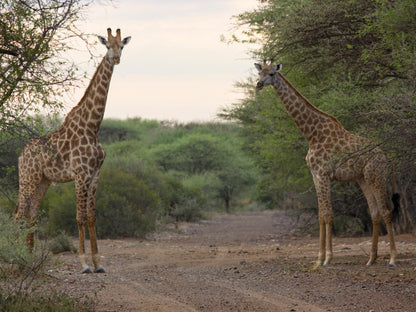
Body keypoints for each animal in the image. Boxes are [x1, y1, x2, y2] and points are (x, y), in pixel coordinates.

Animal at [15, 28, 130, 272]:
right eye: (107, 46)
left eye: (122, 46)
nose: (116, 58)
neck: (93, 126)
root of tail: (21, 154)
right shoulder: (80, 174)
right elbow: (79, 216)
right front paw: (84, 263)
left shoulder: (95, 174)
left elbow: (92, 216)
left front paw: (98, 263)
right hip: (28, 178)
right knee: (19, 213)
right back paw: (15, 257)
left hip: (43, 181)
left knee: (31, 213)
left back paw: (28, 258)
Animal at [255, 62, 398, 266]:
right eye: (260, 72)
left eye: (272, 73)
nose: (259, 84)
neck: (312, 135)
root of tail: (386, 155)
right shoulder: (315, 175)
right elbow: (321, 215)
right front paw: (319, 259)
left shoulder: (323, 174)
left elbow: (329, 214)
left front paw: (328, 258)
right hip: (363, 178)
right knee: (375, 212)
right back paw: (371, 259)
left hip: (375, 175)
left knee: (386, 211)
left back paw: (392, 258)